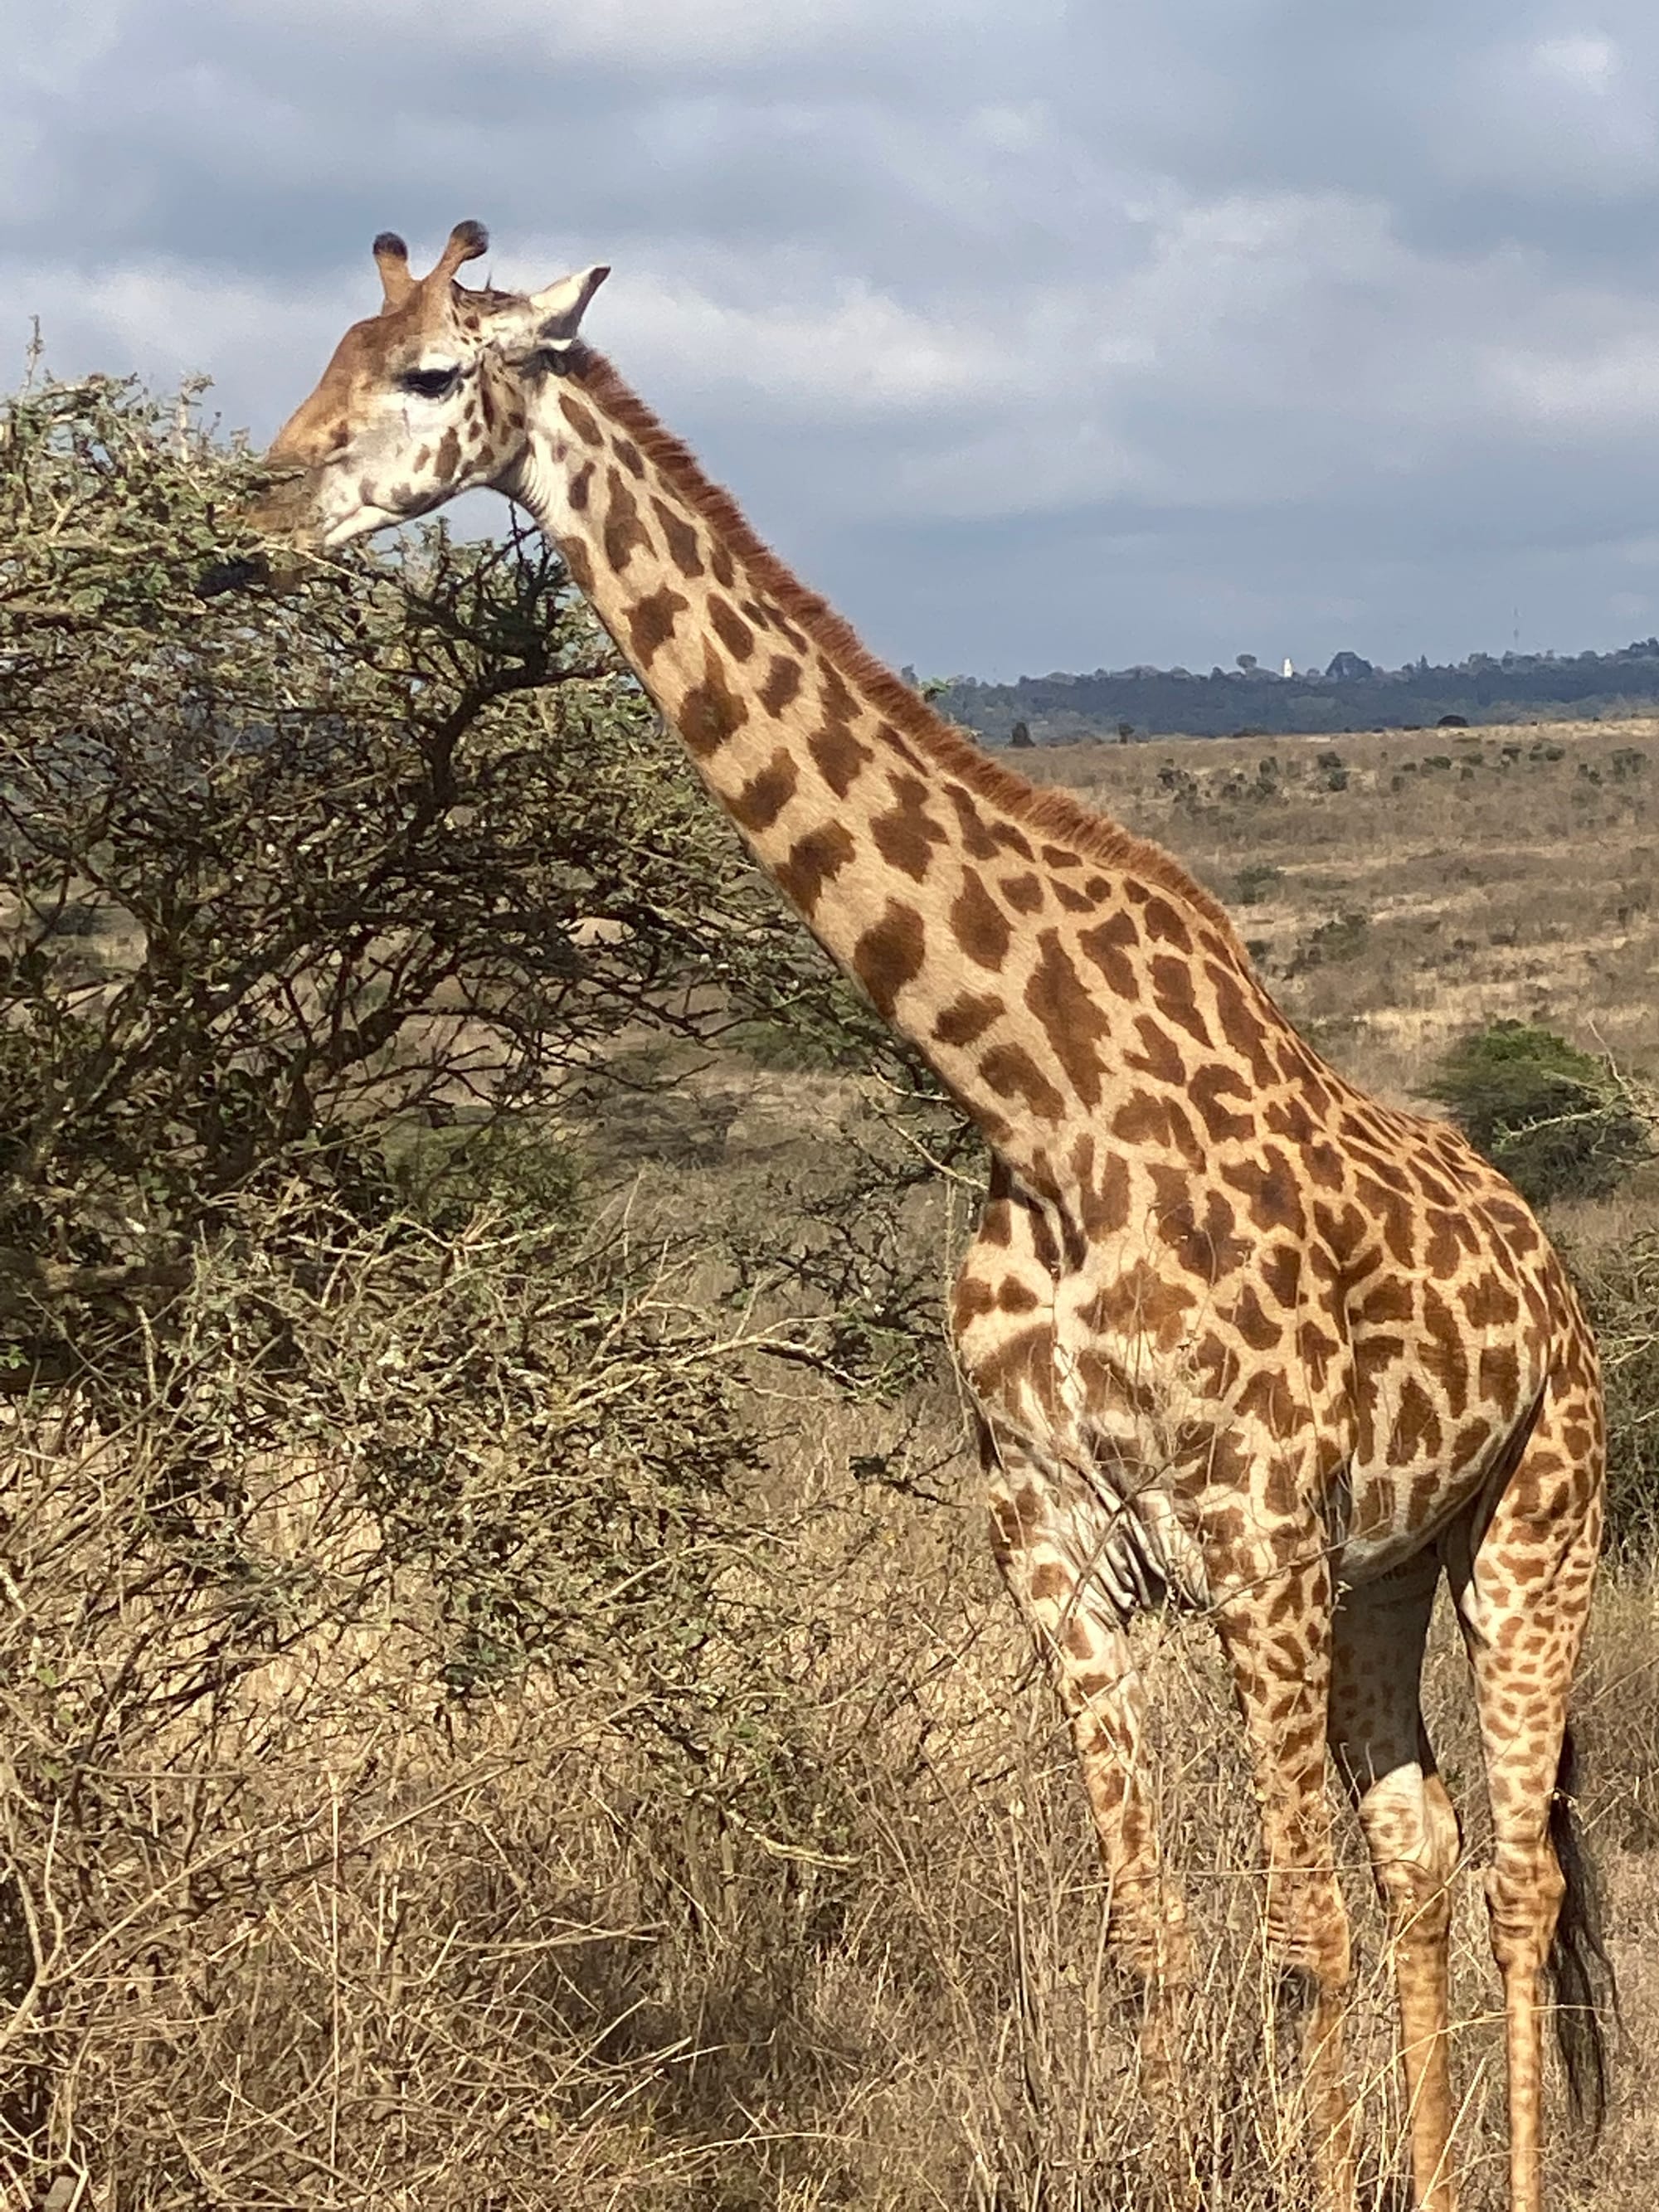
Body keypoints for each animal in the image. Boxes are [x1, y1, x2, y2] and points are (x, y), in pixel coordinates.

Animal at [250, 229, 1627, 2212]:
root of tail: (1549, 1266)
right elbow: (1154, 1931)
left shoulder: (1250, 1528)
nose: (264, 501)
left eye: (436, 371)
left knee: (1517, 1870)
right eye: (330, 347)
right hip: (1383, 1566)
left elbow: (1295, 1931)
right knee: (1422, 1848)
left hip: (1536, 1525)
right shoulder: (1052, 1537)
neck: (1036, 1103)